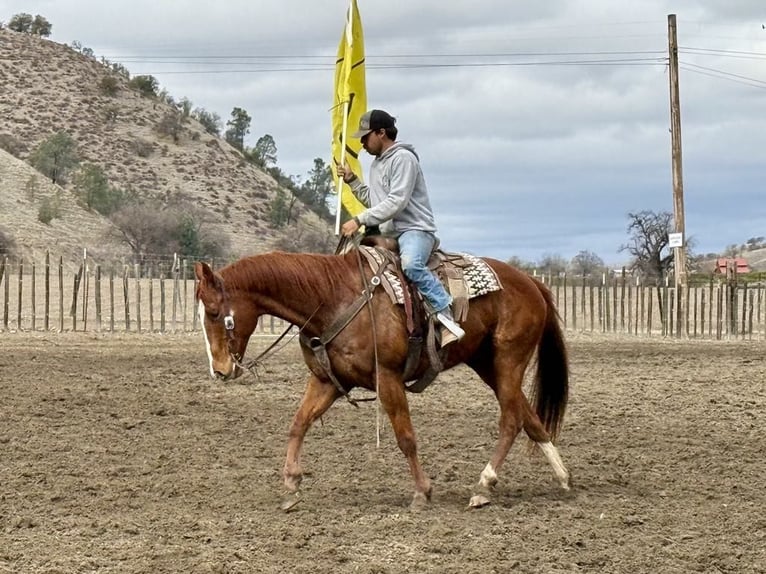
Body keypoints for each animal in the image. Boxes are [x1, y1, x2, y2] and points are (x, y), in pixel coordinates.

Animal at [194, 247, 571, 510]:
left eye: (213, 312)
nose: (220, 370)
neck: (331, 298)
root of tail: (532, 282)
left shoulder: (387, 378)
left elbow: (406, 437)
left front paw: (422, 492)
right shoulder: (327, 381)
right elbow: (299, 423)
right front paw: (291, 484)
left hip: (509, 360)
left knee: (511, 419)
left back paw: (483, 485)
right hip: (486, 363)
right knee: (528, 417)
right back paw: (562, 478)